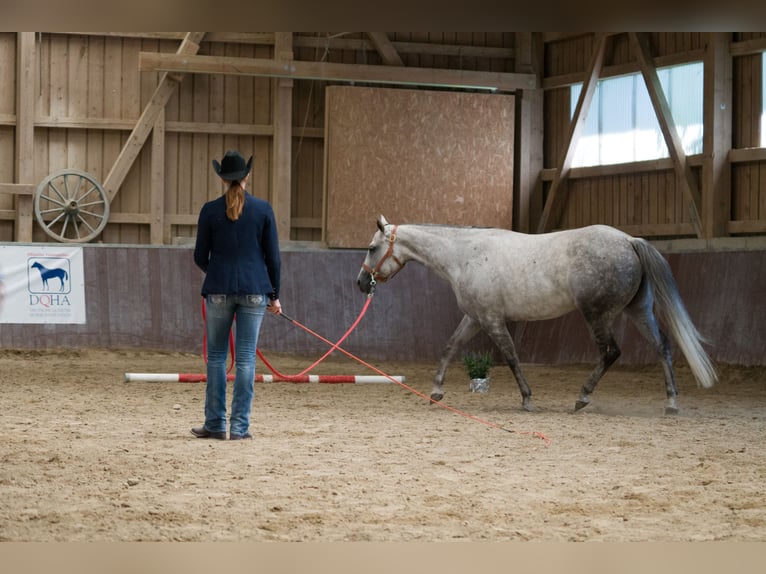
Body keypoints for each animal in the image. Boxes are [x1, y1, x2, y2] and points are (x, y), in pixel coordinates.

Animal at [356, 215, 716, 414]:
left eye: (372, 248)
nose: (361, 282)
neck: (464, 255)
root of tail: (629, 240)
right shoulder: (475, 318)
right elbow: (449, 347)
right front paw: (436, 392)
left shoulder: (492, 320)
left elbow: (511, 356)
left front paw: (527, 399)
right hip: (638, 311)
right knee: (662, 347)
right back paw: (671, 403)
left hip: (596, 315)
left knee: (611, 352)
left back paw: (582, 398)